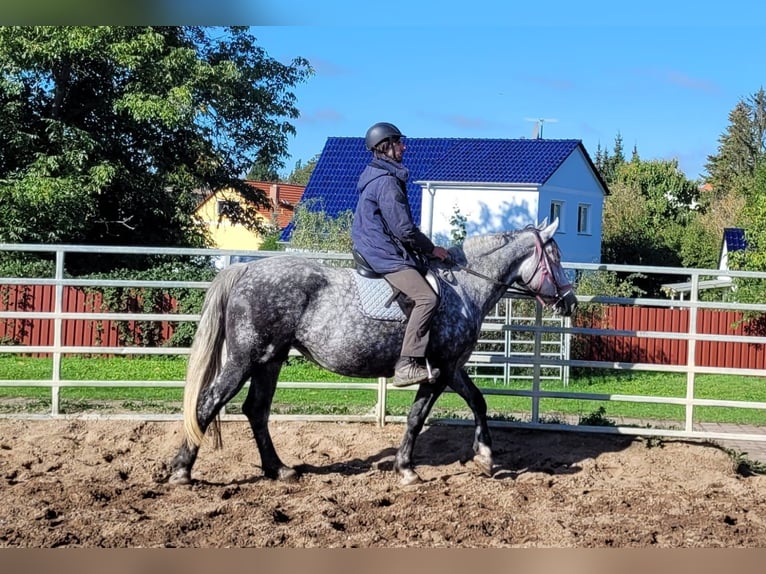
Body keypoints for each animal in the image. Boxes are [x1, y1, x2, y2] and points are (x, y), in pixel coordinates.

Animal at [168, 219, 576, 486]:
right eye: (555, 257)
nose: (570, 302)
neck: (462, 288)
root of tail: (247, 272)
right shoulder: (439, 371)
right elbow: (417, 417)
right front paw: (407, 469)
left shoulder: (452, 367)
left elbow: (478, 401)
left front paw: (486, 457)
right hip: (245, 359)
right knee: (208, 403)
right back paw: (182, 471)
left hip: (270, 360)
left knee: (256, 410)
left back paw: (279, 469)